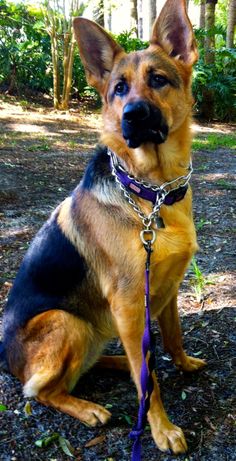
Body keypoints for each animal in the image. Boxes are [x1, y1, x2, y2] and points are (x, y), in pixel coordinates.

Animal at [0, 0, 206, 452]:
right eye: (119, 89)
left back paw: (113, 361)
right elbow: (149, 381)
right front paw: (162, 430)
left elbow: (172, 337)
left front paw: (183, 363)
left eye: (159, 80)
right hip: (67, 322)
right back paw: (88, 407)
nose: (133, 115)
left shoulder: (166, 289)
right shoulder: (130, 303)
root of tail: (4, 357)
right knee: (41, 391)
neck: (150, 192)